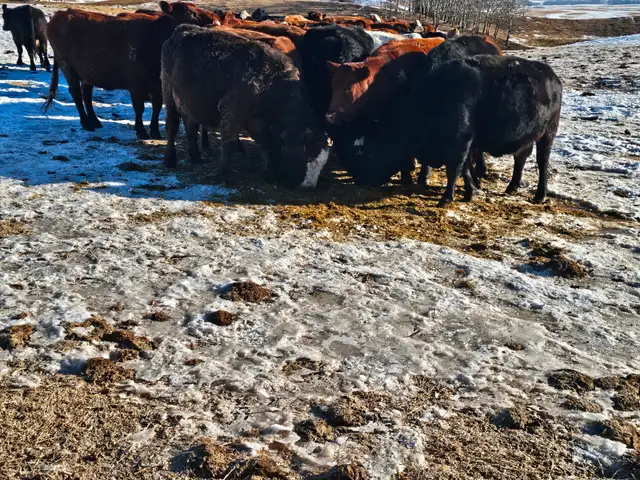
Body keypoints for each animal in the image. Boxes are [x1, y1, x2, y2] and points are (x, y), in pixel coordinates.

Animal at [42, 9, 176, 139]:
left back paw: (95, 121)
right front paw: (141, 131)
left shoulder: (158, 89)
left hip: (87, 74)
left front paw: (155, 132)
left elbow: (157, 108)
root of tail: (59, 15)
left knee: (87, 95)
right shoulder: (136, 86)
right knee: (77, 94)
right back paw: (86, 123)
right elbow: (139, 109)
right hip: (67, 66)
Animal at [161, 25, 329, 189]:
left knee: (190, 125)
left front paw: (270, 174)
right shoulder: (232, 112)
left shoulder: (258, 122)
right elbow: (228, 143)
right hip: (169, 93)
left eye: (321, 164)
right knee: (172, 125)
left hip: (189, 102)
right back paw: (170, 158)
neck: (270, 83)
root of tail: (180, 29)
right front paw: (223, 173)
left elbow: (265, 145)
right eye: (306, 156)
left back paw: (195, 156)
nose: (308, 186)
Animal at [333, 55, 562, 207]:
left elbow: (455, 169)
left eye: (362, 152)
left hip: (548, 133)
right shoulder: (468, 144)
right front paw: (471, 191)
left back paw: (540, 195)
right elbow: (465, 169)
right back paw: (512, 186)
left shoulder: (461, 142)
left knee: (543, 162)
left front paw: (446, 198)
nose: (360, 180)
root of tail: (551, 75)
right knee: (521, 157)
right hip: (527, 136)